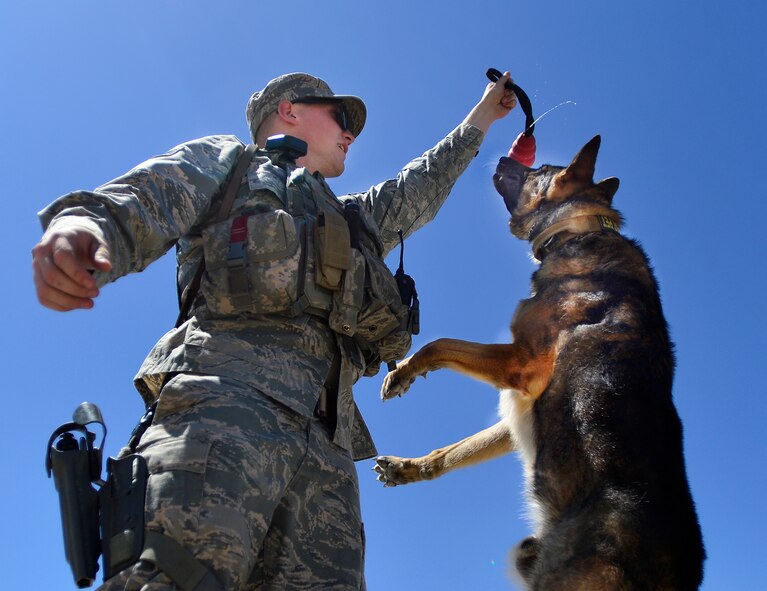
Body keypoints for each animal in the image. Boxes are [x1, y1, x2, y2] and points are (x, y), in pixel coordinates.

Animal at [376, 136, 704, 588]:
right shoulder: (517, 409)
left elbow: (438, 345)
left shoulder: (521, 365)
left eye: (540, 169)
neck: (575, 229)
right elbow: (454, 450)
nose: (500, 156)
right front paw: (408, 467)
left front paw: (404, 372)